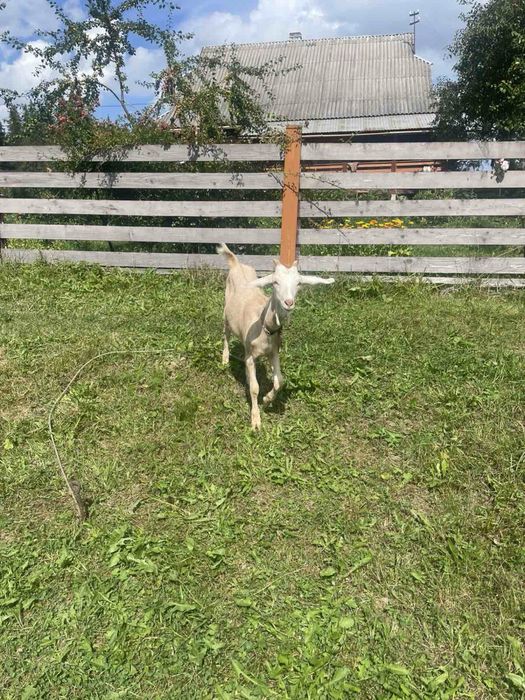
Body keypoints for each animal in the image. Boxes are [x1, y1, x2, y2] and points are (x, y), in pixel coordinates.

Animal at [217, 243, 334, 429]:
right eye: (275, 282)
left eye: (299, 283)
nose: (289, 303)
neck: (264, 326)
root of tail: (236, 263)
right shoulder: (251, 355)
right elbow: (254, 387)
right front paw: (255, 420)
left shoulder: (274, 352)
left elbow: (280, 380)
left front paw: (267, 399)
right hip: (226, 314)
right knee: (226, 335)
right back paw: (225, 358)